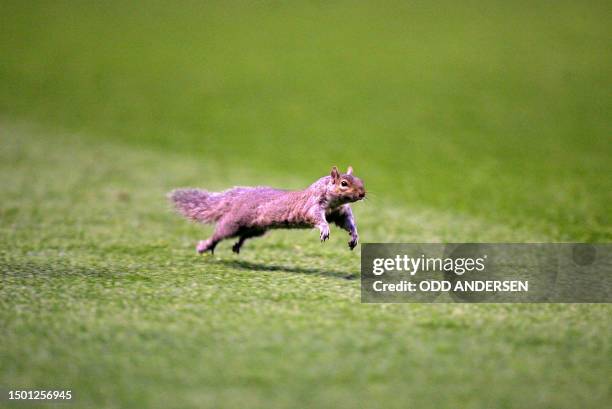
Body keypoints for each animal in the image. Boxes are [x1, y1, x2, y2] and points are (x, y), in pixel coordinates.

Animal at [170, 165, 366, 253]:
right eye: (344, 183)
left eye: (361, 180)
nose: (363, 193)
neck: (334, 203)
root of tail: (238, 198)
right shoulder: (312, 206)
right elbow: (317, 217)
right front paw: (324, 229)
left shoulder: (339, 212)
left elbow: (347, 222)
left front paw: (354, 236)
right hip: (234, 222)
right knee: (219, 234)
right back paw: (205, 246)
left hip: (257, 229)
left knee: (244, 235)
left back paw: (237, 245)